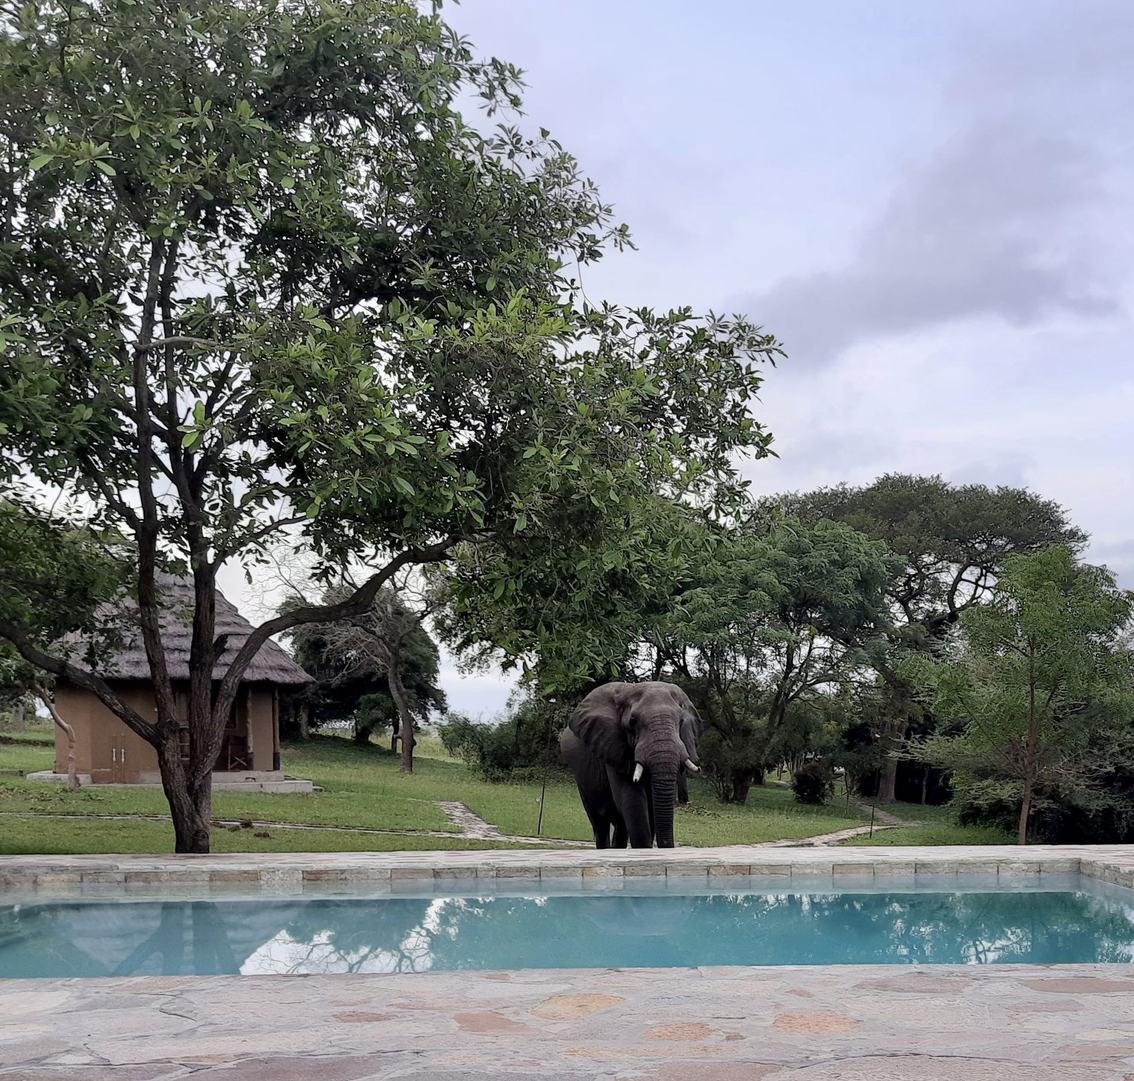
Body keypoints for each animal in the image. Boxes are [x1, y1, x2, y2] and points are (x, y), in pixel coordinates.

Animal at [560, 681, 703, 849]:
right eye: (632, 721)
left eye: (681, 721)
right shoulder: (613, 745)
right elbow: (633, 801)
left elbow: (650, 809)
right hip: (582, 779)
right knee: (599, 821)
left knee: (620, 824)